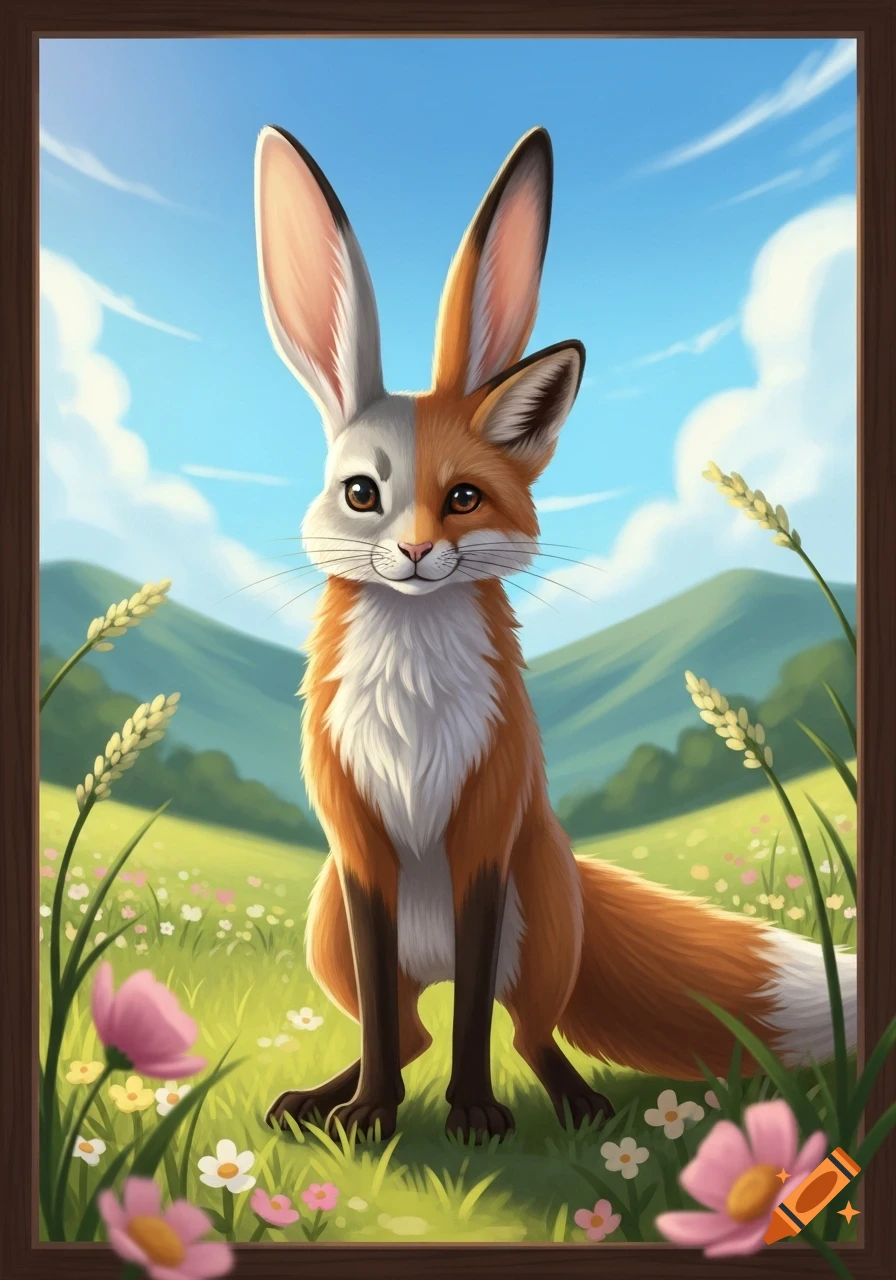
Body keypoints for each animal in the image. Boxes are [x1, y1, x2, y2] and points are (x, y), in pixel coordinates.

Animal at [254, 123, 857, 1143]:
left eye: (463, 498)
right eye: (363, 494)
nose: (414, 552)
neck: (413, 713)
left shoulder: (484, 836)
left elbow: (472, 1030)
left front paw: (471, 1114)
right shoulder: (361, 849)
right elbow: (387, 1025)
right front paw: (371, 1113)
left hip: (539, 934)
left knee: (520, 1030)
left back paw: (575, 1104)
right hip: (329, 922)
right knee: (405, 1027)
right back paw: (328, 1101)